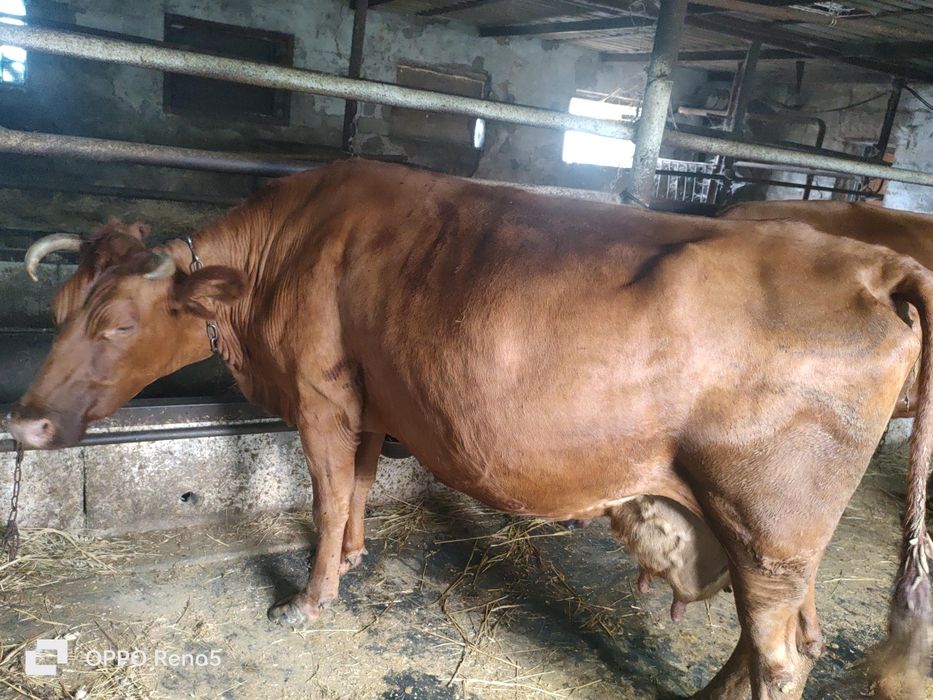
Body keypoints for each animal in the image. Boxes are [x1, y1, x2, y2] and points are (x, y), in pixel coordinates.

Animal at [5, 160, 930, 699]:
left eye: (119, 324)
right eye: (59, 309)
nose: (26, 422)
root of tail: (875, 266)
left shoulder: (320, 396)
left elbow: (327, 492)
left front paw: (310, 597)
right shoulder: (369, 401)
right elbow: (359, 485)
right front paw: (352, 558)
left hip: (765, 524)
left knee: (781, 656)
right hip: (772, 539)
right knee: (784, 635)